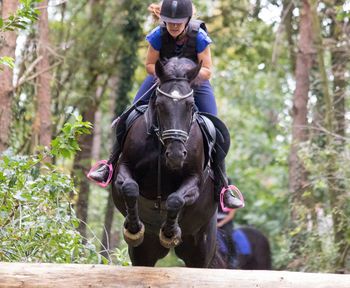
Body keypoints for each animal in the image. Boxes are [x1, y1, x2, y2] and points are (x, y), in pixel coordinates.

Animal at [110, 57, 219, 266]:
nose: (176, 155)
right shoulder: (123, 168)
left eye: (191, 105)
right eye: (160, 104)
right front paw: (133, 228)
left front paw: (170, 232)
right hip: (144, 253)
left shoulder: (194, 180)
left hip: (201, 250)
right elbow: (130, 187)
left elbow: (175, 199)